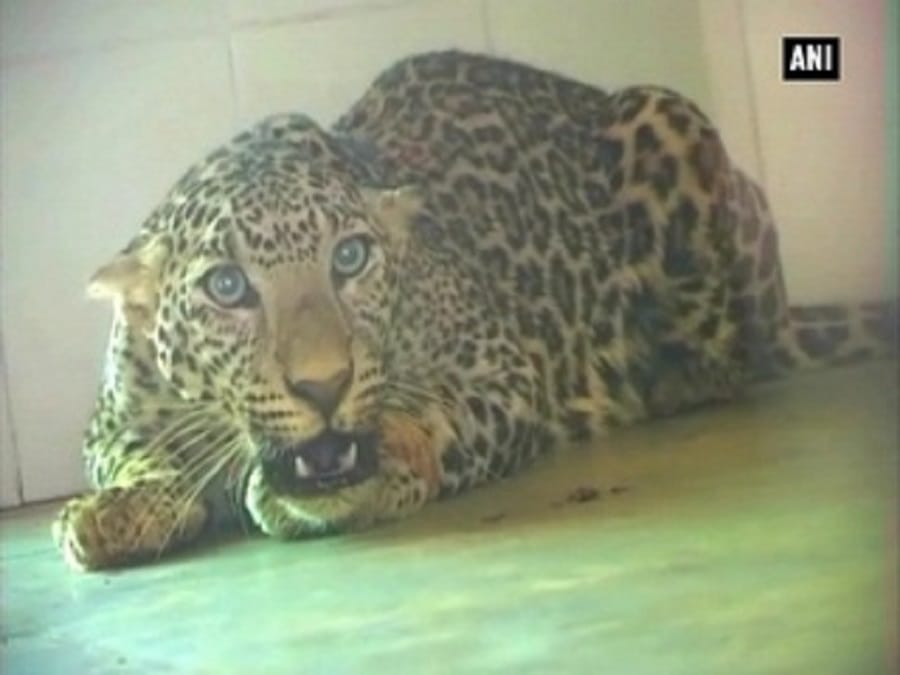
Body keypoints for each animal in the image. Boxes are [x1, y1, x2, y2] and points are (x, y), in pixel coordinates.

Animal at [52, 50, 895, 571]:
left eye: (350, 259)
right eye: (227, 287)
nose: (324, 385)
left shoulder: (501, 372)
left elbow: (435, 422)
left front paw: (382, 465)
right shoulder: (110, 420)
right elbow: (139, 456)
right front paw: (111, 512)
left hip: (663, 118)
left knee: (728, 360)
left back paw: (665, 379)